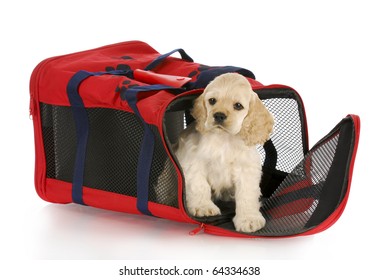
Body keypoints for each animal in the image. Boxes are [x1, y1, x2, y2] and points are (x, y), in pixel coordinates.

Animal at [176, 72, 274, 232]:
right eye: (212, 101)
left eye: (238, 106)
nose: (219, 115)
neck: (224, 139)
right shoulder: (193, 163)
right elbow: (199, 186)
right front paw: (204, 207)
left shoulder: (247, 169)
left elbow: (247, 194)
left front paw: (249, 219)